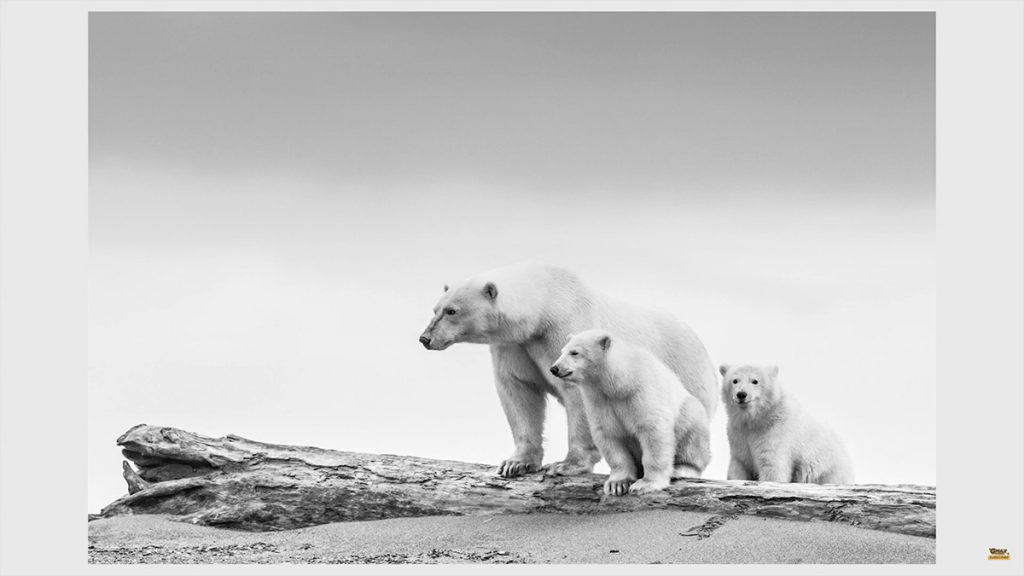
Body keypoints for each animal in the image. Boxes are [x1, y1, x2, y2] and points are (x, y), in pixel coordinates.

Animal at [419, 261, 716, 475]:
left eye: (452, 311)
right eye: (435, 309)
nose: (425, 338)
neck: (546, 304)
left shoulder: (566, 331)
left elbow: (578, 397)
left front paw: (566, 465)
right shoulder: (515, 345)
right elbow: (518, 391)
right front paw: (515, 463)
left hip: (684, 373)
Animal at [548, 327, 708, 494]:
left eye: (574, 352)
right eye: (562, 351)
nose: (554, 368)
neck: (621, 382)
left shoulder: (641, 393)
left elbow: (653, 432)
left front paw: (646, 484)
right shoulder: (599, 401)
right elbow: (609, 436)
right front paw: (617, 484)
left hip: (688, 413)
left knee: (692, 434)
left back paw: (681, 469)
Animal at [720, 364, 856, 481]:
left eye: (755, 381)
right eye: (735, 380)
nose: (741, 394)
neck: (758, 419)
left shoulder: (776, 431)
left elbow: (772, 465)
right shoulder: (738, 435)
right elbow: (740, 464)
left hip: (827, 469)